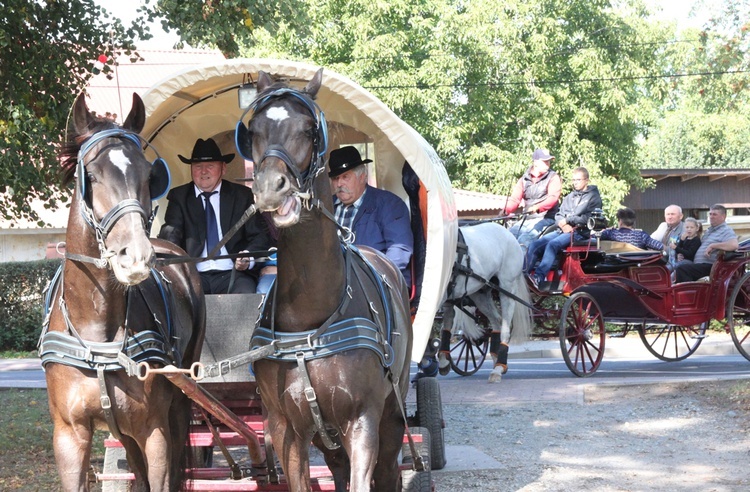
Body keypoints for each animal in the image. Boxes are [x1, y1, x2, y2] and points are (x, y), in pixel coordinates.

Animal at [39, 93, 204, 492]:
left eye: (148, 175)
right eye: (91, 176)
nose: (137, 256)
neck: (97, 330)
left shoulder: (154, 431)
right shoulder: (68, 435)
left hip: (179, 400)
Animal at [238, 71, 414, 490]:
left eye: (308, 130)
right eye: (253, 130)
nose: (270, 187)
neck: (310, 315)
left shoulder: (362, 419)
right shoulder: (286, 428)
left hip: (392, 413)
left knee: (388, 468)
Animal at [440, 221, 536, 382]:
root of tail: (509, 235)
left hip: (507, 289)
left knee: (505, 328)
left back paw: (498, 368)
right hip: (480, 294)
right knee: (496, 320)